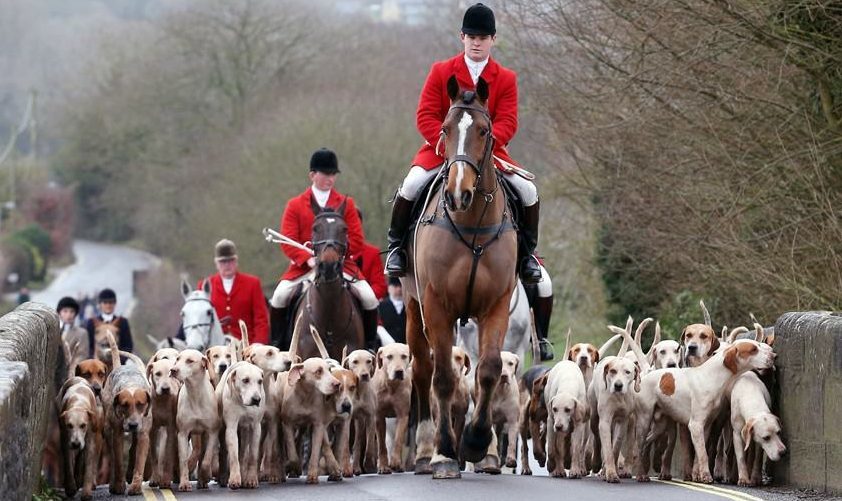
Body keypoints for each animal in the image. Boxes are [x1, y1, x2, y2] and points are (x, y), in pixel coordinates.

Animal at [402, 74, 520, 476]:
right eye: (444, 129)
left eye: (485, 131)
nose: (457, 194)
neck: (472, 227)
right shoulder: (436, 305)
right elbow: (442, 379)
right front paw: (443, 454)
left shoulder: (495, 305)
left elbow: (488, 370)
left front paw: (478, 443)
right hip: (414, 308)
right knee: (424, 371)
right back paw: (425, 452)